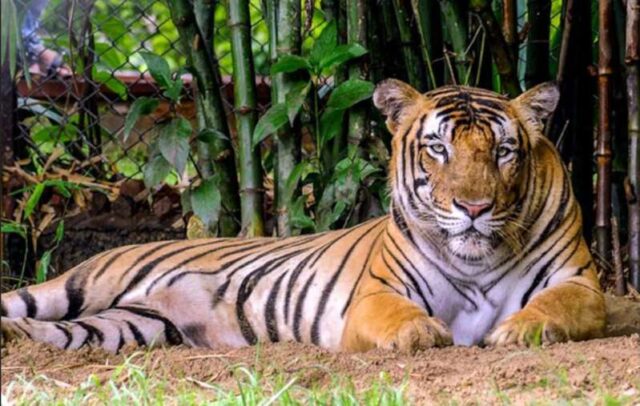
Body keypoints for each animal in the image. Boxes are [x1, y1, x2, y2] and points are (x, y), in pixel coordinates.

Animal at [1, 80, 606, 354]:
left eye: (503, 152)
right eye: (438, 148)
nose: (475, 208)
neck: (476, 261)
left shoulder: (580, 284)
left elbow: (555, 306)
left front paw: (516, 331)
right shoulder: (376, 294)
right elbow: (400, 317)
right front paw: (421, 334)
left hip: (130, 324)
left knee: (54, 332)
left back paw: (16, 338)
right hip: (77, 285)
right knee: (23, 302)